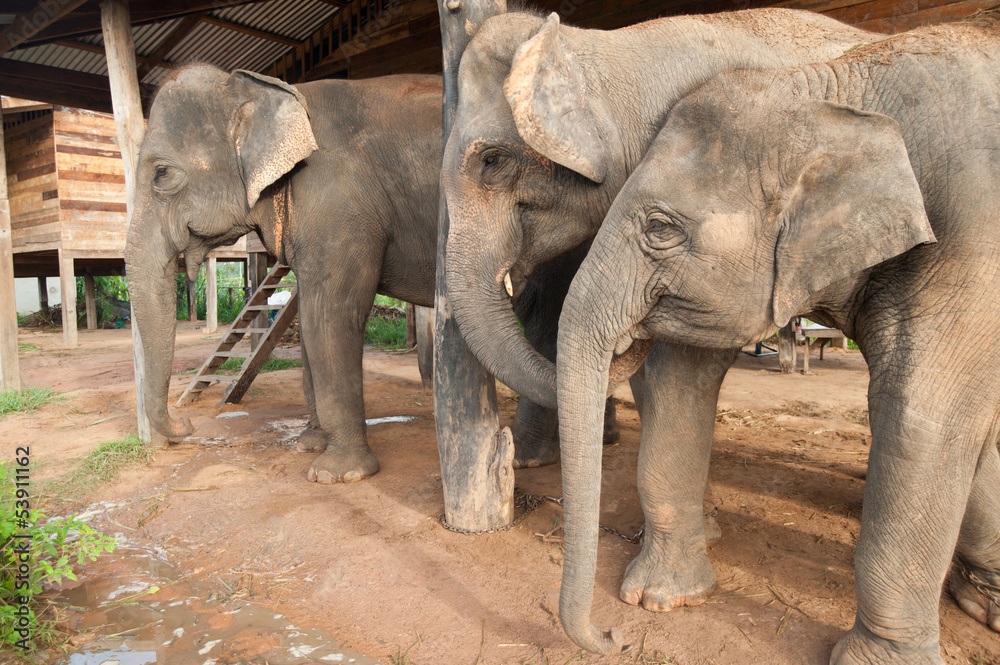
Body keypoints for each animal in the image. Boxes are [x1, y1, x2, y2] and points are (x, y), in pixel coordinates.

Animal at [125, 66, 445, 484]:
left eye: (161, 173)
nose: (187, 424)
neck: (261, 88)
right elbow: (309, 324)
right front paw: (310, 444)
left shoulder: (337, 204)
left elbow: (330, 315)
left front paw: (336, 474)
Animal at [555, 13, 1000, 663]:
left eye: (659, 227)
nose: (612, 635)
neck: (837, 90)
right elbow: (681, 378)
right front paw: (660, 601)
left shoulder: (974, 230)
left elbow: (922, 415)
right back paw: (985, 603)